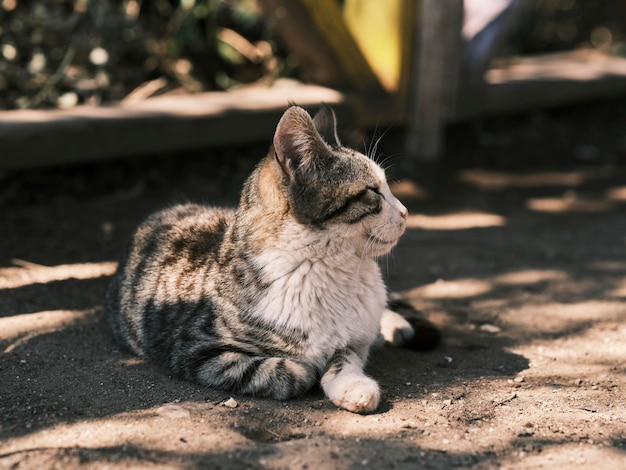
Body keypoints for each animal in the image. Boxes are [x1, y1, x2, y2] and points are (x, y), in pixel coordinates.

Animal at [106, 104, 438, 414]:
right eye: (372, 192)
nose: (406, 212)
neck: (330, 268)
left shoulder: (352, 338)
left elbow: (346, 356)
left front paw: (354, 386)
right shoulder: (197, 349)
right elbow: (280, 371)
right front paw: (309, 367)